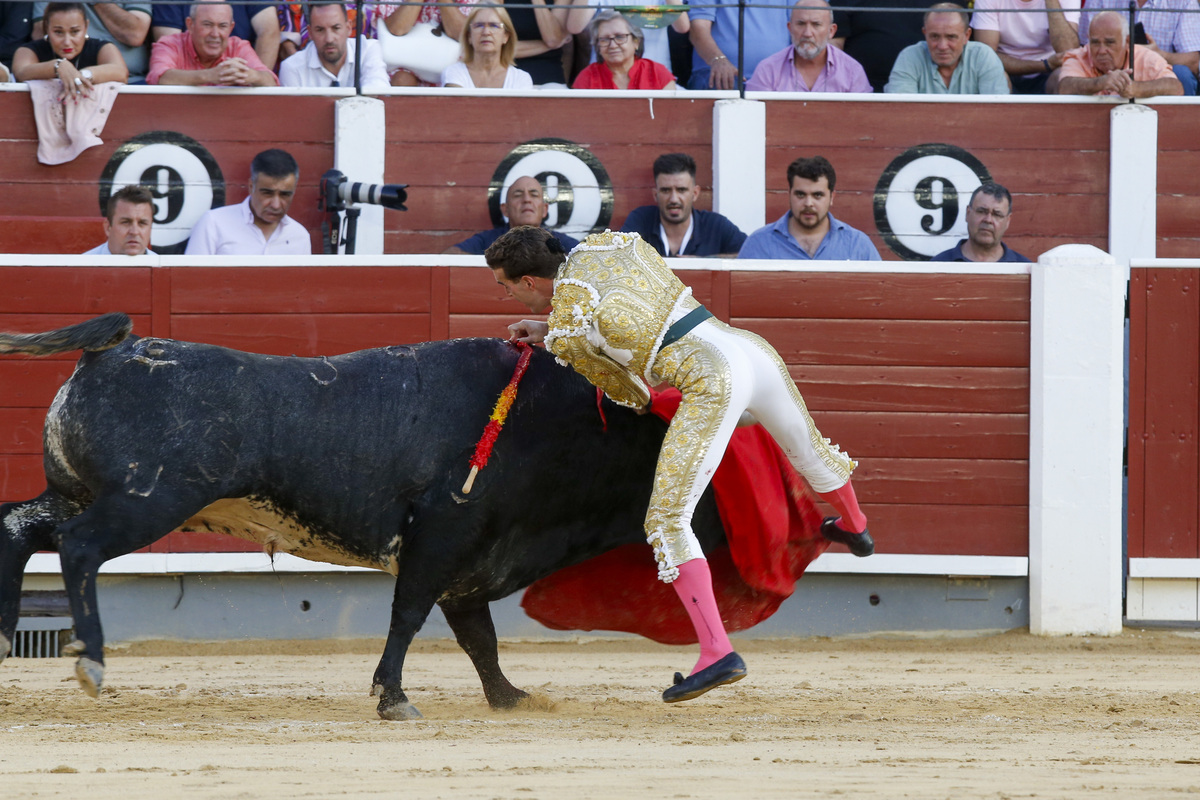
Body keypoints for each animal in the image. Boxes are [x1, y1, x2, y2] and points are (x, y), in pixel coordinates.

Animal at [0, 311, 720, 719]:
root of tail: (112, 350)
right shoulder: (442, 537)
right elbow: (409, 616)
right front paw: (395, 699)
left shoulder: (469, 562)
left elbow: (478, 638)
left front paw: (511, 699)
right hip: (148, 500)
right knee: (78, 547)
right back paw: (89, 660)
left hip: (81, 490)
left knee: (19, 525)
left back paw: (7, 641)